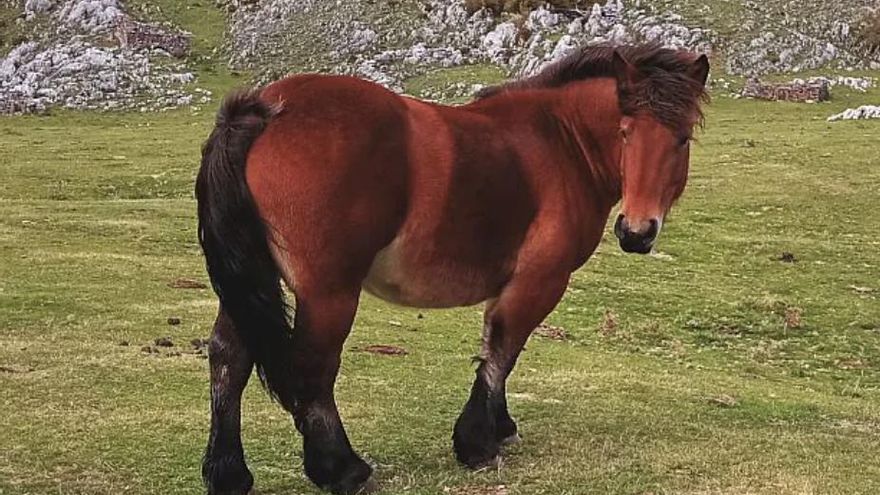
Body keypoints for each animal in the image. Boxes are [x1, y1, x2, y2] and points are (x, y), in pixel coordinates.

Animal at [195, 43, 710, 495]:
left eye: (681, 138)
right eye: (625, 132)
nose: (636, 232)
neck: (559, 142)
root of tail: (266, 110)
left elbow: (496, 350)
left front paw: (499, 427)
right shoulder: (539, 282)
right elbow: (502, 352)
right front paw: (477, 442)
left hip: (252, 283)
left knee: (228, 358)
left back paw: (228, 473)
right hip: (328, 294)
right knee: (312, 369)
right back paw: (342, 469)